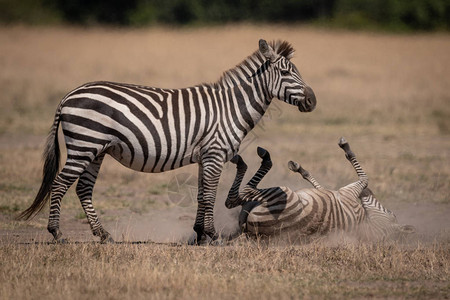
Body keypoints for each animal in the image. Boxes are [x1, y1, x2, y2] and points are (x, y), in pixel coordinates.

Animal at [17, 39, 316, 244]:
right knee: (60, 184)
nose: (313, 101)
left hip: (96, 149)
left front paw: (199, 235)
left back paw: (103, 235)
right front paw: (212, 235)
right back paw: (57, 234)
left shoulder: (207, 155)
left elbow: (203, 192)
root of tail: (69, 95)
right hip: (84, 144)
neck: (230, 107)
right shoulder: (215, 153)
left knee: (83, 189)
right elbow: (210, 194)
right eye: (287, 73)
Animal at [225, 137, 414, 240]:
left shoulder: (349, 191)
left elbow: (364, 176)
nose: (369, 192)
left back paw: (253, 159)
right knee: (238, 198)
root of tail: (252, 232)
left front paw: (345, 147)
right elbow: (319, 185)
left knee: (236, 197)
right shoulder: (338, 193)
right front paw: (301, 170)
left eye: (391, 214)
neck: (365, 222)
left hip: (281, 193)